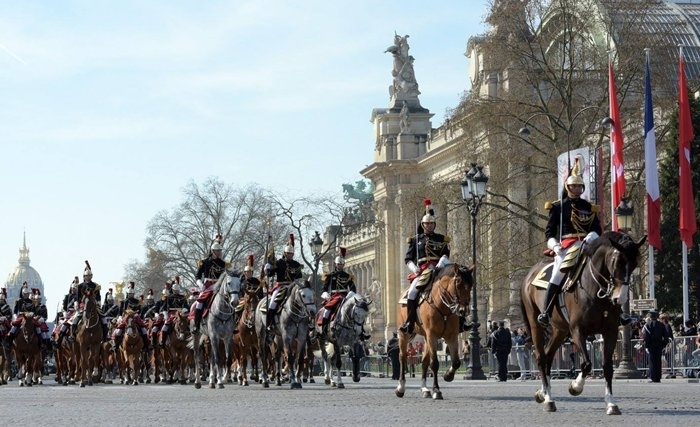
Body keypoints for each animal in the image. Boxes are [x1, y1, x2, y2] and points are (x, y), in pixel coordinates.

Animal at [394, 264, 476, 402]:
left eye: (471, 285)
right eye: (458, 283)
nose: (463, 310)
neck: (443, 306)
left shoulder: (451, 336)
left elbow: (456, 362)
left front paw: (448, 376)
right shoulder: (432, 335)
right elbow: (435, 363)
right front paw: (437, 390)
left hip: (426, 338)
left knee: (424, 361)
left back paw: (424, 389)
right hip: (404, 334)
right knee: (402, 357)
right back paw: (401, 387)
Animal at [520, 231, 644, 414]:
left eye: (634, 263)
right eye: (617, 261)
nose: (620, 298)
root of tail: (529, 275)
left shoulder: (611, 331)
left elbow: (608, 367)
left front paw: (611, 403)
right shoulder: (578, 330)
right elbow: (586, 364)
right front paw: (575, 386)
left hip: (560, 330)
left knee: (549, 355)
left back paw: (543, 392)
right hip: (537, 325)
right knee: (541, 357)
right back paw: (549, 399)